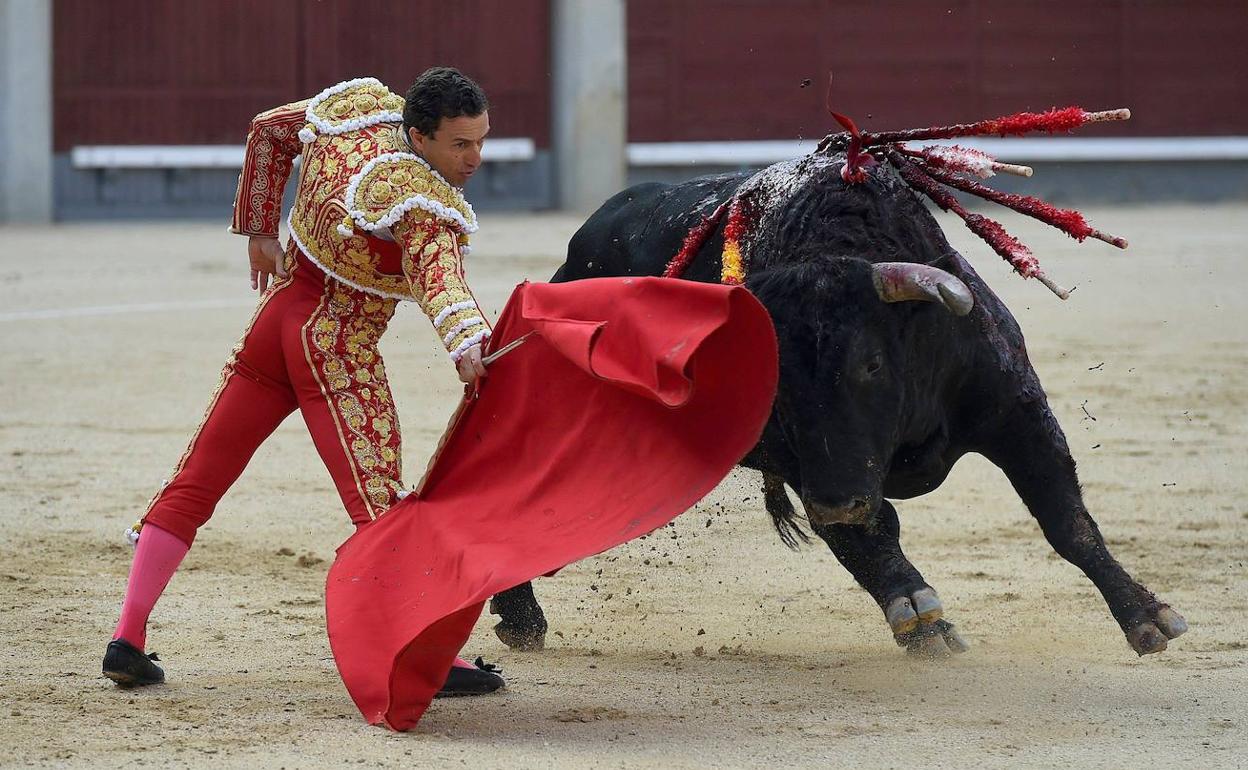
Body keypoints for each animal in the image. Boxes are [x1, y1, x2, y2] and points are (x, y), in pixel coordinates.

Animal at [486, 147, 1188, 658]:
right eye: (777, 383)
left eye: (871, 364)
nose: (836, 500)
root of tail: (574, 257)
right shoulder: (806, 462)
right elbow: (867, 534)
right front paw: (921, 616)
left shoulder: (1015, 412)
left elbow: (1066, 519)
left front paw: (1148, 618)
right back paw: (520, 618)